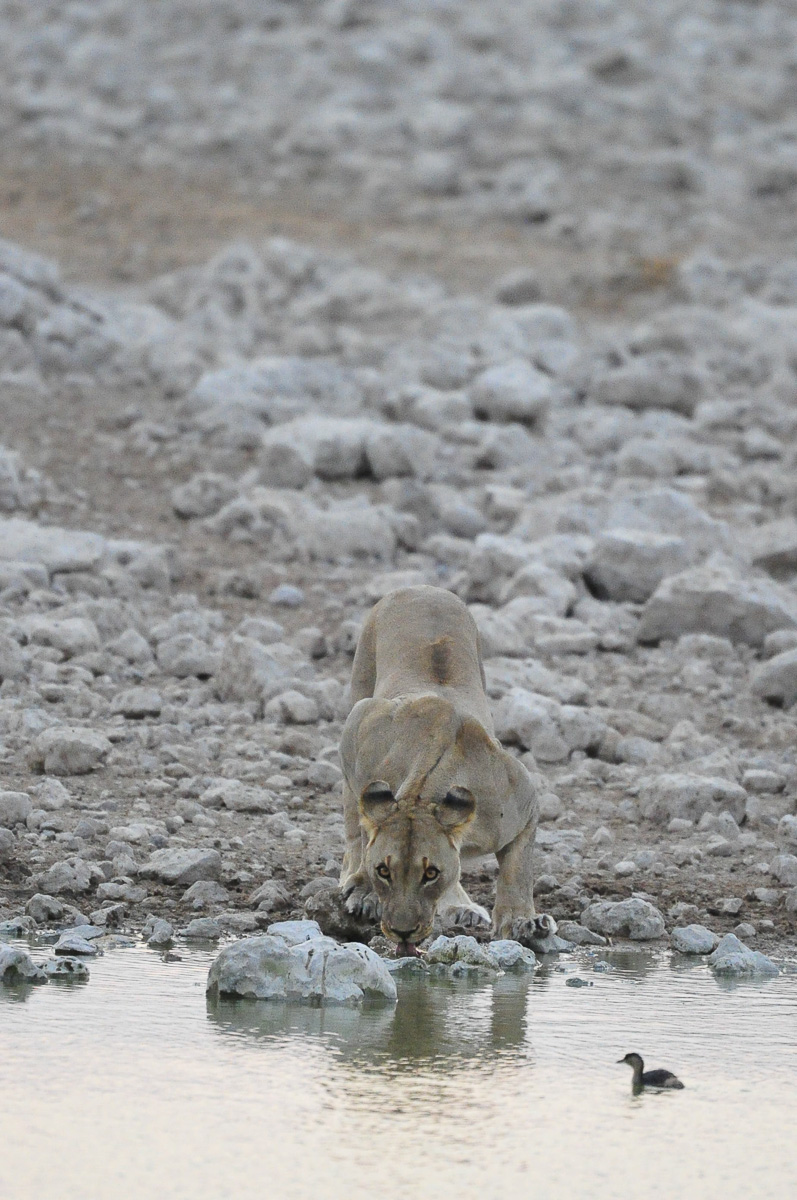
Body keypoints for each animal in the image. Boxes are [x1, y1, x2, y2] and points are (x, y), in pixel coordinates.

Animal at [339, 585, 556, 956]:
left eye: (431, 874)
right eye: (384, 871)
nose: (403, 932)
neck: (422, 792)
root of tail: (420, 587)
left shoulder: (525, 801)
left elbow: (518, 870)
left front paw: (522, 921)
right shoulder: (360, 726)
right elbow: (362, 831)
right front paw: (365, 889)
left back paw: (463, 909)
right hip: (360, 681)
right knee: (353, 824)